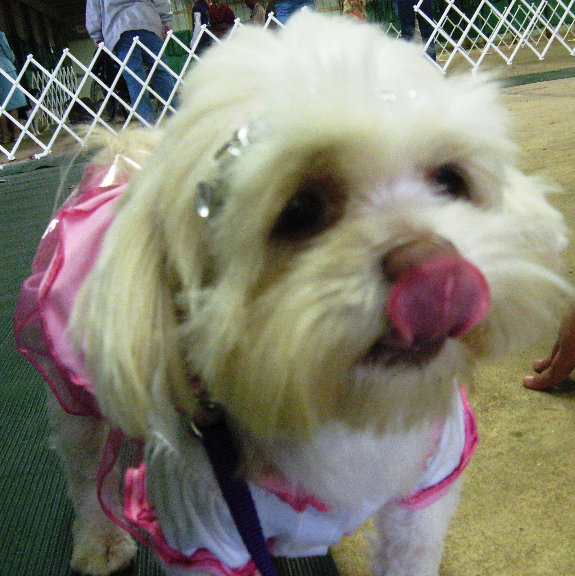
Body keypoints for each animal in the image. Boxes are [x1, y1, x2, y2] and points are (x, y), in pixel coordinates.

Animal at [15, 11, 572, 576]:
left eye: (449, 179)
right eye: (300, 210)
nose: (434, 269)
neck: (337, 409)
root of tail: (126, 156)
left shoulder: (423, 495)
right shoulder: (198, 532)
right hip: (73, 394)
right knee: (85, 469)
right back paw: (99, 539)